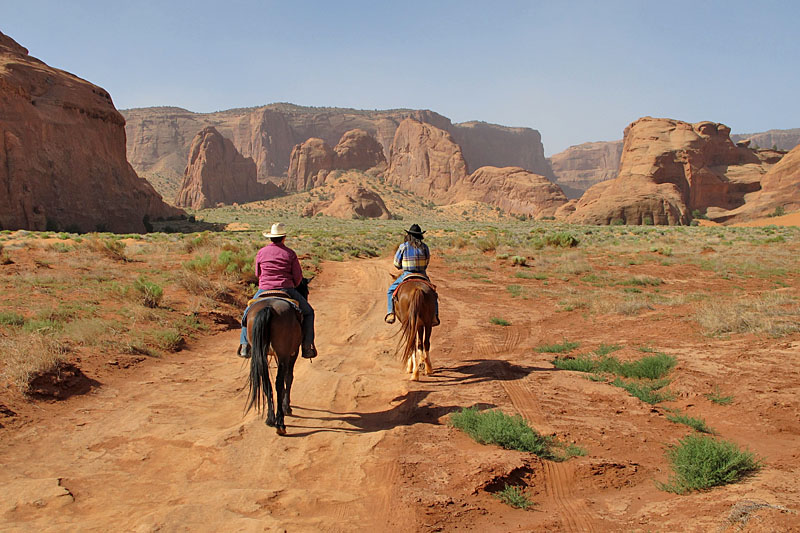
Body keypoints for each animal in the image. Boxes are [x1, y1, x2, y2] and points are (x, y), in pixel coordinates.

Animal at [244, 276, 310, 434]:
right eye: (306, 291)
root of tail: (268, 307)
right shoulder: (292, 352)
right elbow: (289, 377)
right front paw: (287, 407)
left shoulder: (275, 354)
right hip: (283, 353)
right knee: (279, 382)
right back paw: (280, 422)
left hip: (261, 353)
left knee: (266, 382)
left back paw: (270, 418)